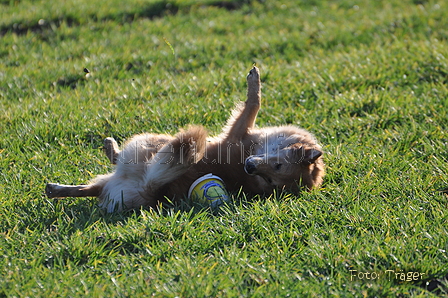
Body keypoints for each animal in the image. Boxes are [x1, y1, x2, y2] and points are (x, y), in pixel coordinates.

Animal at [45, 67, 324, 212]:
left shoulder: (236, 131)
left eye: (272, 177)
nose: (249, 167)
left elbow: (253, 103)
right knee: (92, 188)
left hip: (156, 142)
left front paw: (254, 82)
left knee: (110, 170)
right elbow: (253, 103)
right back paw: (57, 189)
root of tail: (153, 191)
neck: (250, 149)